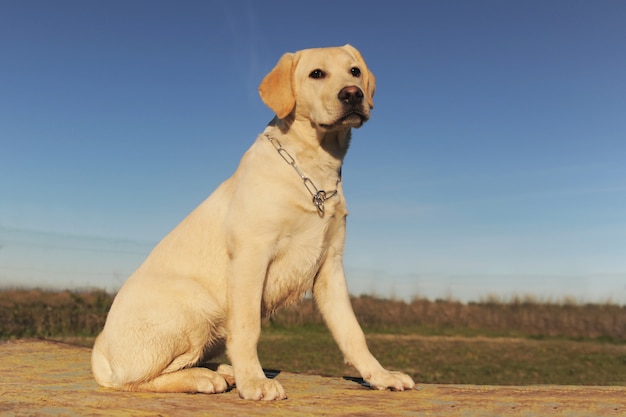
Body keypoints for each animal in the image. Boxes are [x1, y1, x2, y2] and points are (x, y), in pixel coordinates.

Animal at [90, 44, 414, 400]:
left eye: (354, 71)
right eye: (317, 74)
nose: (353, 94)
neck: (312, 171)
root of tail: (100, 352)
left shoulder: (329, 266)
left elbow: (352, 332)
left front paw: (380, 376)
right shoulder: (252, 255)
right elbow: (248, 329)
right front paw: (254, 382)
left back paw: (222, 370)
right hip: (196, 307)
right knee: (137, 380)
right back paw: (206, 378)